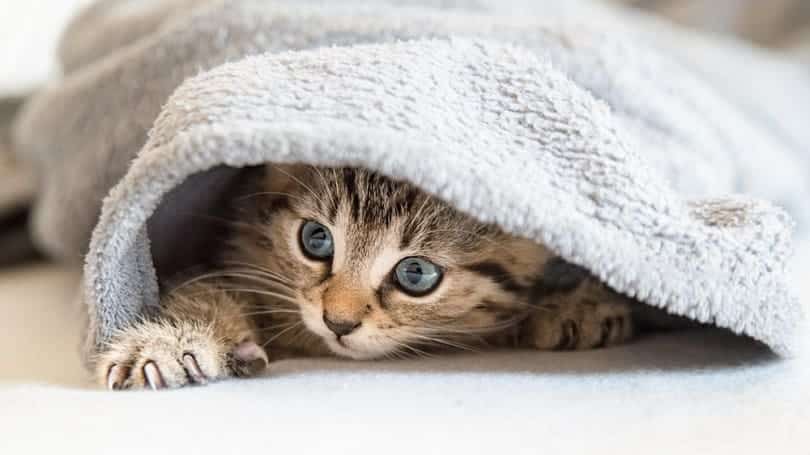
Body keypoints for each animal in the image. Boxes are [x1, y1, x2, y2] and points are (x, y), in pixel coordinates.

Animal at [98, 166, 636, 390]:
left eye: (416, 273)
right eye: (316, 239)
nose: (338, 322)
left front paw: (572, 304)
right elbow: (205, 287)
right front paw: (171, 342)